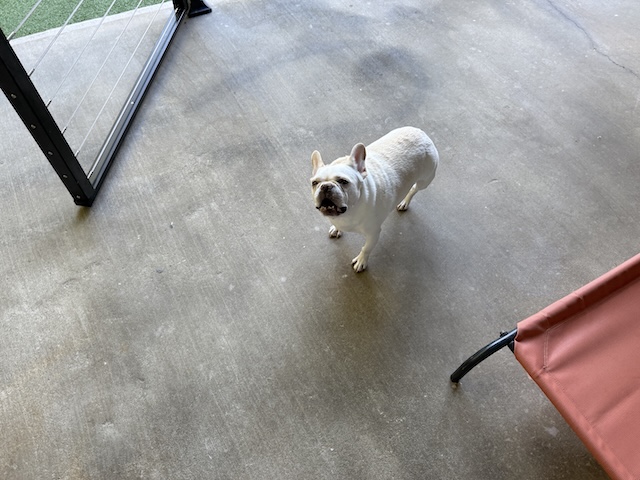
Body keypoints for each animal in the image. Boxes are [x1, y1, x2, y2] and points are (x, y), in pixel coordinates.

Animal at [310, 126, 439, 272]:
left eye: (343, 181)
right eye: (314, 183)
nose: (325, 186)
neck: (349, 212)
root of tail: (421, 133)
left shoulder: (373, 234)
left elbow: (366, 248)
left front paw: (361, 261)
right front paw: (336, 228)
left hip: (425, 180)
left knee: (414, 189)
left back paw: (404, 202)